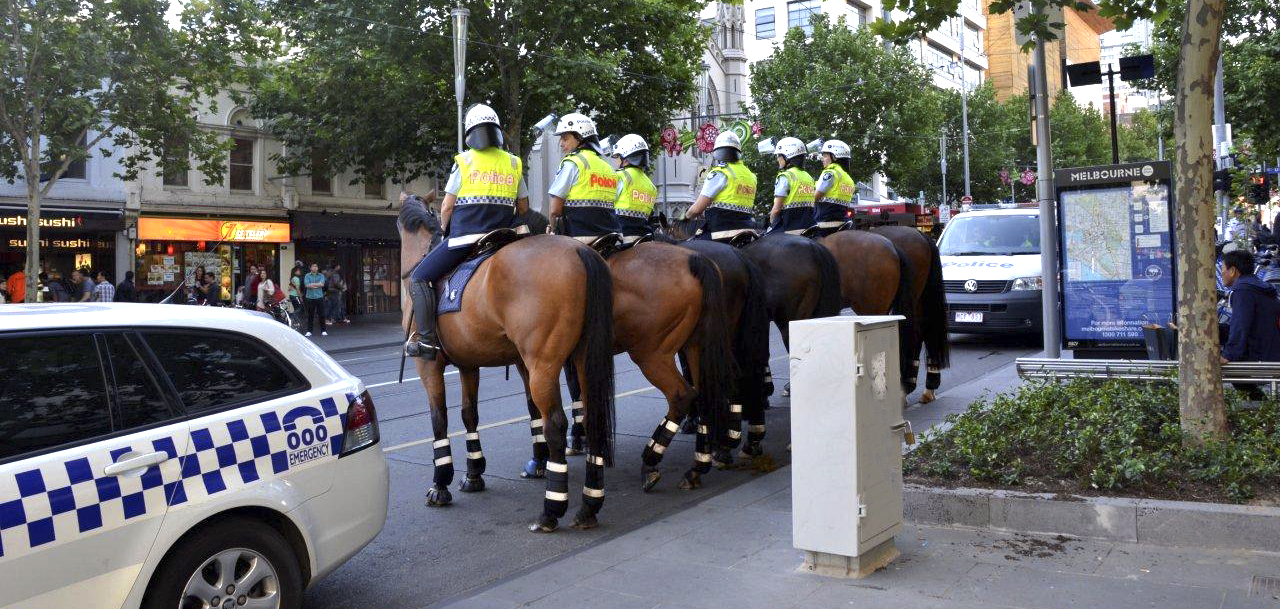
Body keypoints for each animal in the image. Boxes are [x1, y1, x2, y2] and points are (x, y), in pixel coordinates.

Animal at [399, 199, 619, 532]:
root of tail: (580, 251)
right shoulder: (469, 364)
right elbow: (469, 415)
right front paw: (473, 473)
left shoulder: (429, 366)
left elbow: (439, 419)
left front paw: (440, 483)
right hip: (583, 358)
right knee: (593, 415)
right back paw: (589, 504)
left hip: (544, 366)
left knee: (555, 423)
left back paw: (551, 509)